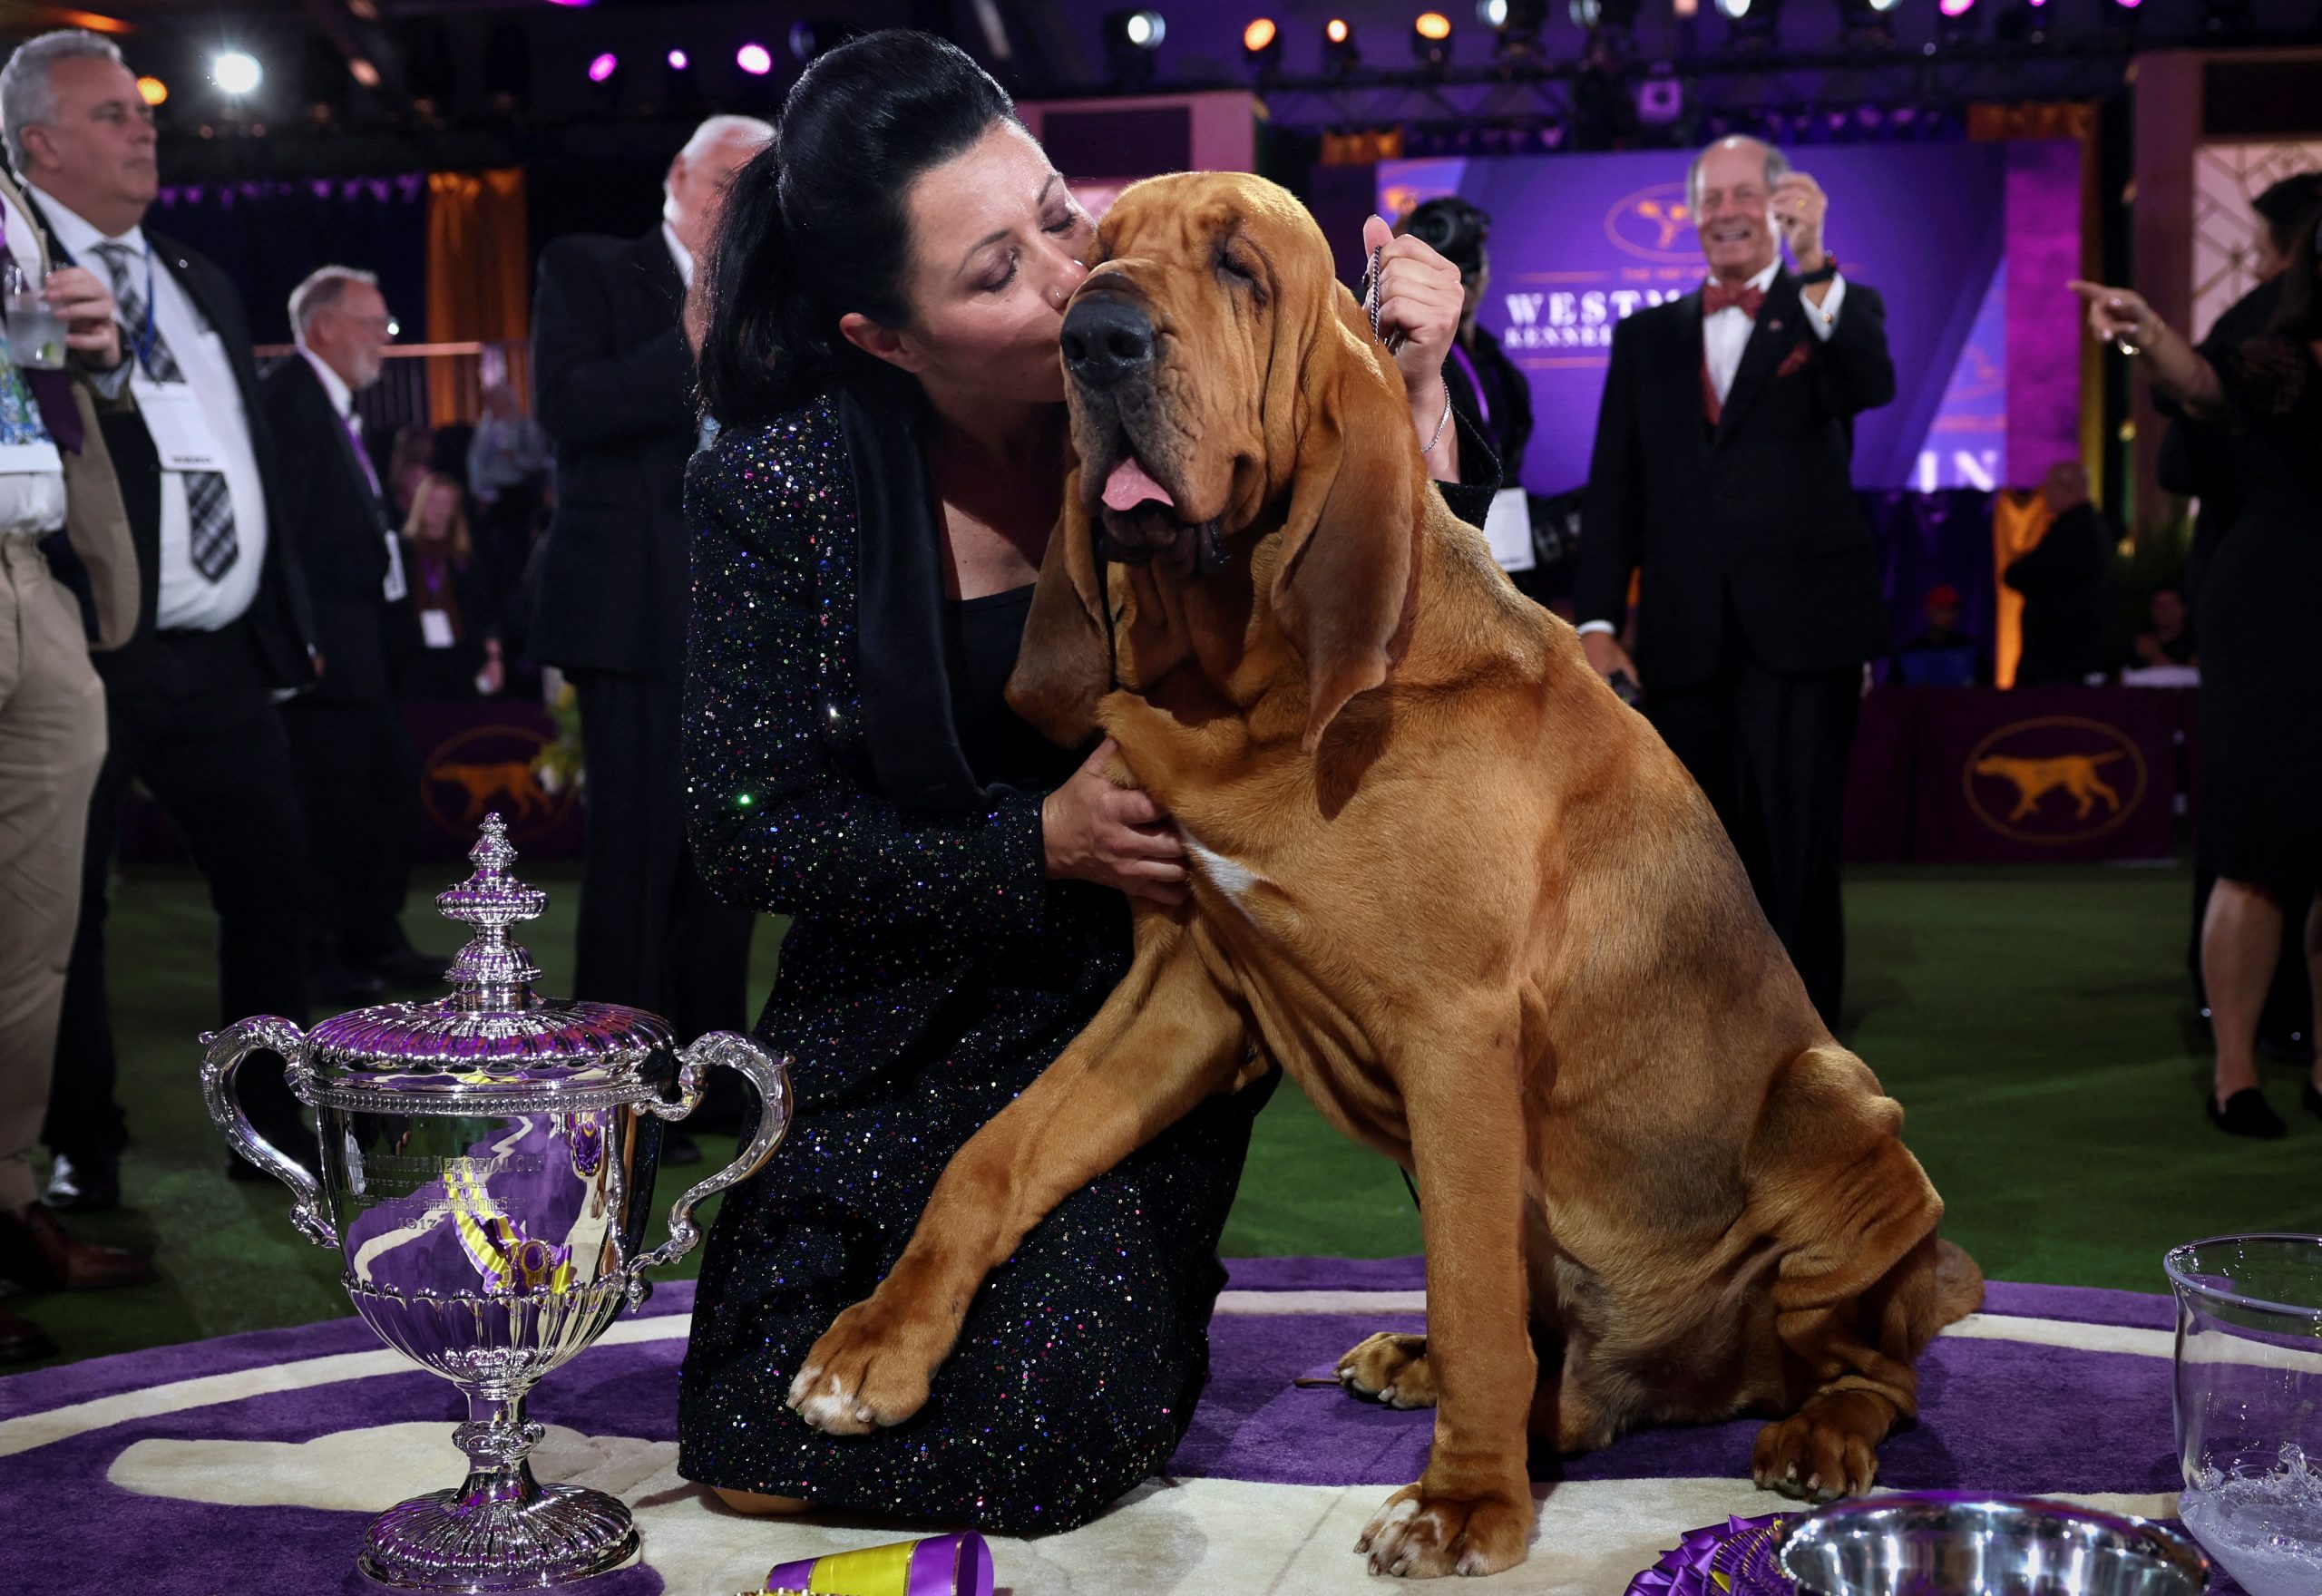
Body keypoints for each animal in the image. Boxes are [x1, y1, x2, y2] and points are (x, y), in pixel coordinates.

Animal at [794, 171, 1978, 1568]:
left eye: (1241, 269)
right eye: (1089, 251)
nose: (1094, 337)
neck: (1256, 690)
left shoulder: (1454, 1033)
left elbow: (1470, 1291)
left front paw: (1465, 1501)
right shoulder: (1189, 991)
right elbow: (995, 1148)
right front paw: (874, 1345)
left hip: (1836, 1109)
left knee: (1874, 1366)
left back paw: (1811, 1436)